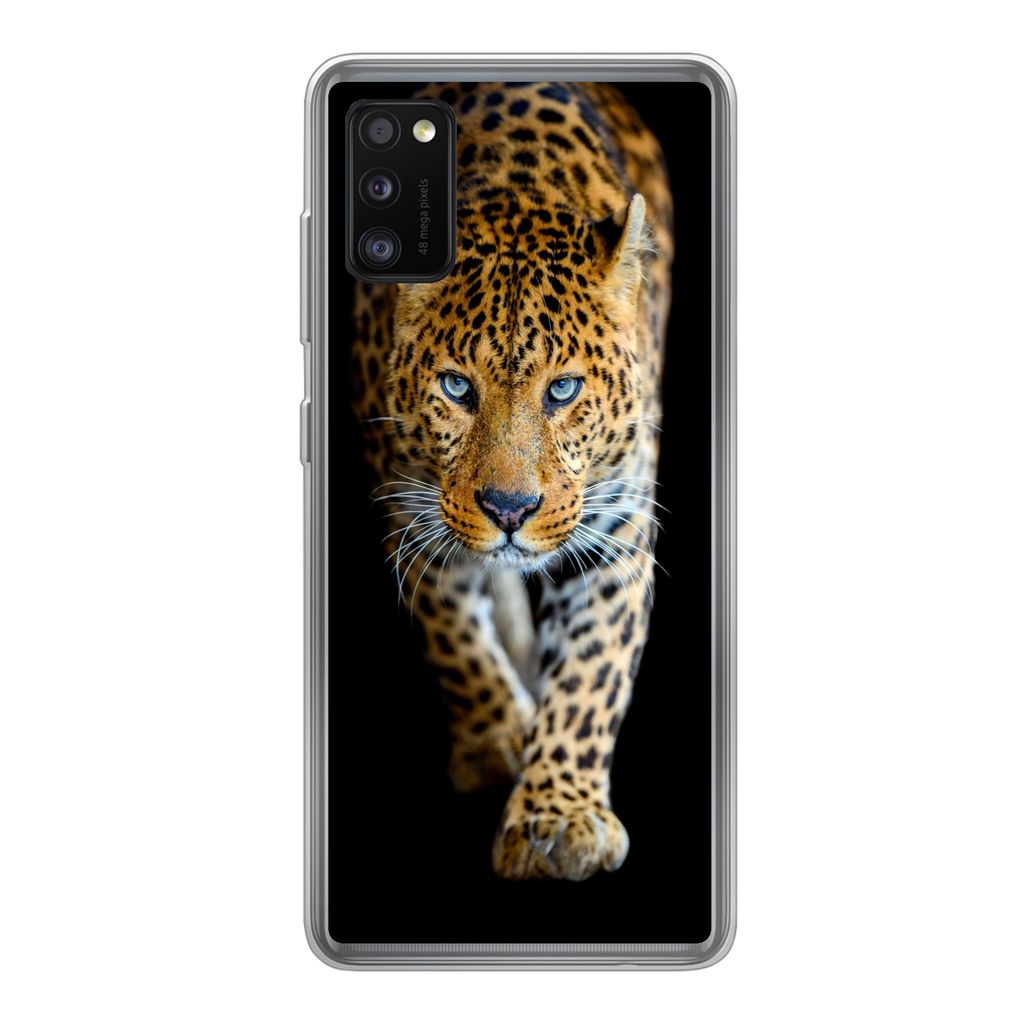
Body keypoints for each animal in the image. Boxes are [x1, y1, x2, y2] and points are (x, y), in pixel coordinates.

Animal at [350, 81, 673, 880]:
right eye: (457, 387)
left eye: (562, 390)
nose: (508, 509)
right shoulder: (409, 507)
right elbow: (453, 636)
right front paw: (497, 738)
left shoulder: (618, 531)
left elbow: (591, 674)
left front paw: (558, 816)